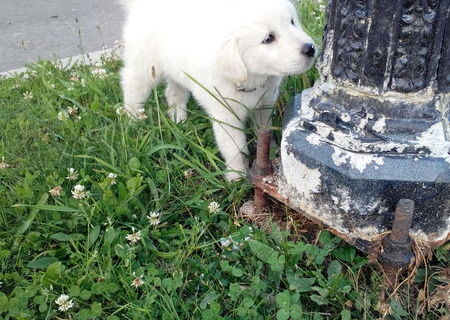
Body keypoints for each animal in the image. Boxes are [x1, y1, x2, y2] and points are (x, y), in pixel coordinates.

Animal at [120, 0, 316, 181]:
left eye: (292, 22)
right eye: (268, 38)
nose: (310, 48)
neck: (249, 77)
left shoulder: (265, 102)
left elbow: (263, 128)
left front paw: (272, 150)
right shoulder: (225, 115)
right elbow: (235, 147)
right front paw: (237, 176)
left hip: (175, 68)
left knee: (173, 92)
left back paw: (178, 118)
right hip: (145, 65)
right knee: (132, 85)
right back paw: (132, 119)